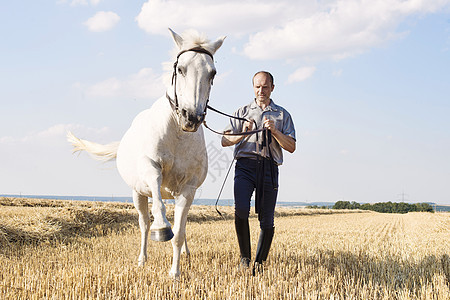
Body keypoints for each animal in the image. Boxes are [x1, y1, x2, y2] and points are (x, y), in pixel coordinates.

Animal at [67, 29, 225, 278]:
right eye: (181, 69)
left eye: (212, 73)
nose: (191, 117)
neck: (177, 133)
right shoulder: (151, 169)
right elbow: (158, 208)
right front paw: (162, 229)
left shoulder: (188, 189)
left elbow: (179, 232)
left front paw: (175, 273)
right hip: (137, 193)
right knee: (143, 224)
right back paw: (142, 258)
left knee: (182, 225)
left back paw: (186, 253)